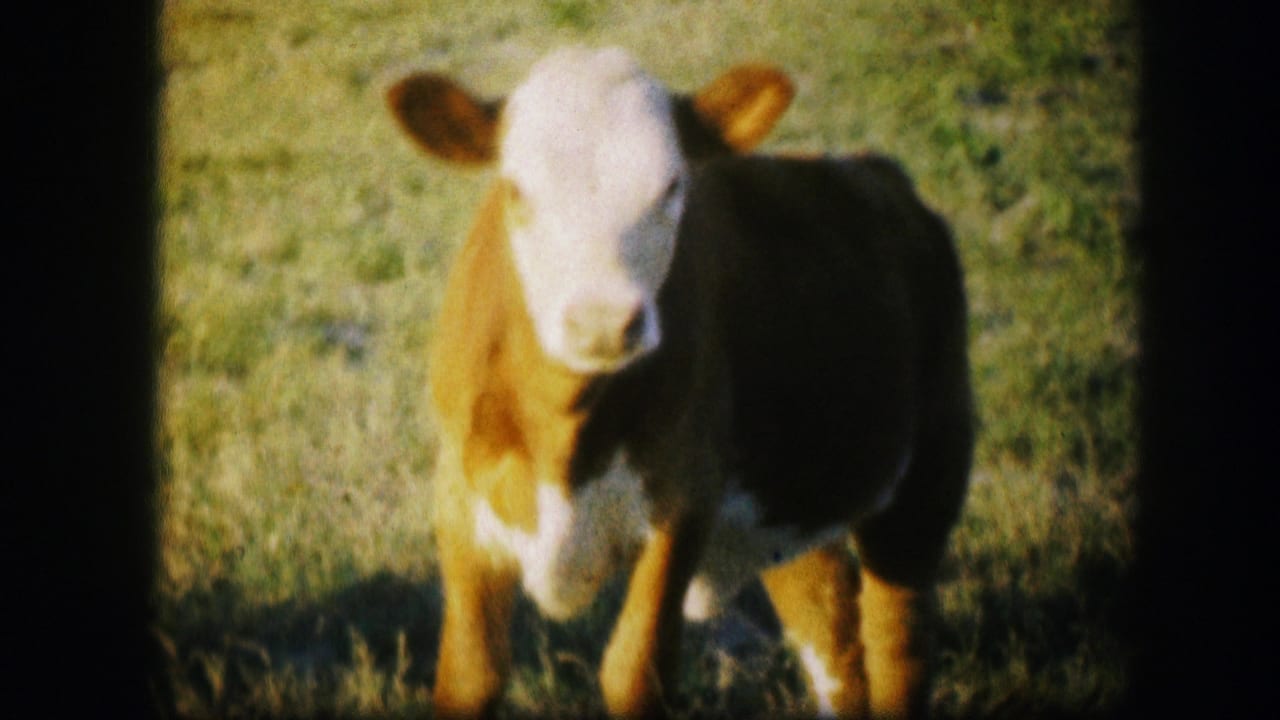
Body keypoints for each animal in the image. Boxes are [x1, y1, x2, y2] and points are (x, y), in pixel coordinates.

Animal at [385, 46, 972, 719]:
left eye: (672, 187)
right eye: (515, 188)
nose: (602, 322)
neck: (564, 440)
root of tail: (876, 173)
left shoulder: (684, 497)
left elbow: (633, 671)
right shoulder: (460, 501)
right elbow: (470, 675)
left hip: (931, 468)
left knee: (897, 641)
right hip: (788, 512)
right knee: (832, 632)